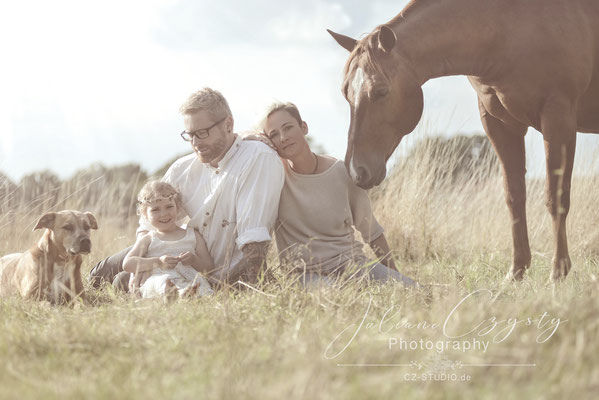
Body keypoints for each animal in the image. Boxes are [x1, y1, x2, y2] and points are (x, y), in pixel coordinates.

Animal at [328, 0, 599, 282]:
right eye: (346, 93)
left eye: (381, 91)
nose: (356, 171)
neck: (508, 27)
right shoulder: (499, 124)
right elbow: (514, 197)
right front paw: (516, 272)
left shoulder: (558, 118)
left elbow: (556, 197)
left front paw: (558, 273)